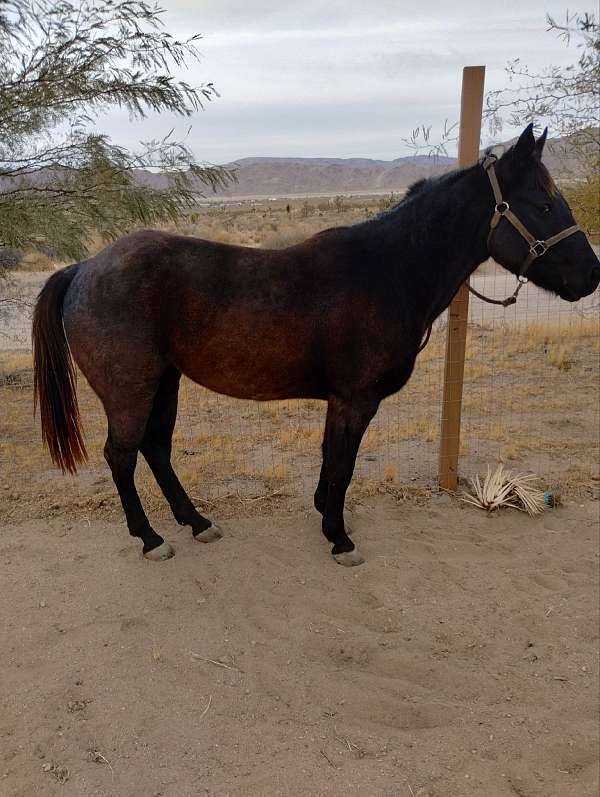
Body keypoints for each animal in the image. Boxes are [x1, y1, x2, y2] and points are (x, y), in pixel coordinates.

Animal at [31, 124, 600, 564]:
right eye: (543, 204)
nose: (591, 275)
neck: (387, 272)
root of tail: (85, 268)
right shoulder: (355, 399)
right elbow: (343, 464)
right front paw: (339, 537)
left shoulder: (339, 401)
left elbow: (330, 458)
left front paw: (324, 514)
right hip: (130, 389)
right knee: (122, 456)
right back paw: (151, 539)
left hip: (164, 382)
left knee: (155, 449)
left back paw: (196, 522)